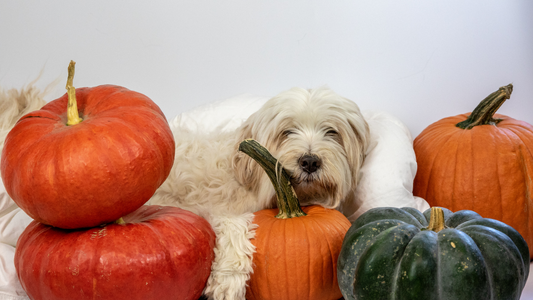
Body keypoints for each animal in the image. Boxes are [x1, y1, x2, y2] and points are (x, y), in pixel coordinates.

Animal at [148, 86, 368, 300]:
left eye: (331, 132)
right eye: (287, 132)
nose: (310, 162)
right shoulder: (192, 208)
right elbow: (230, 223)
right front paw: (228, 278)